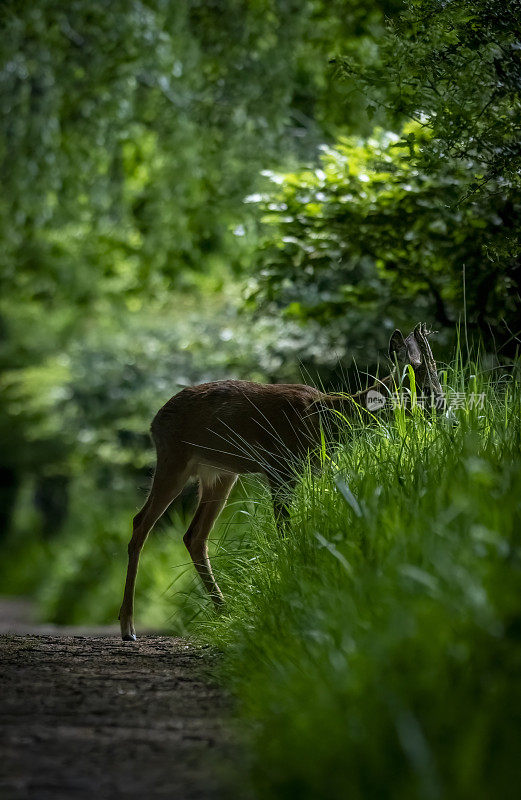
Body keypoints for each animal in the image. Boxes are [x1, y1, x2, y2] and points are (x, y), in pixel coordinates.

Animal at [119, 322, 442, 640]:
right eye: (425, 388)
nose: (442, 409)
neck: (328, 418)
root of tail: (154, 421)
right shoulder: (279, 469)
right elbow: (284, 532)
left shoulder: (310, 469)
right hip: (174, 459)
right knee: (140, 523)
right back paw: (128, 627)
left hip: (221, 474)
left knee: (194, 535)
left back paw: (223, 611)